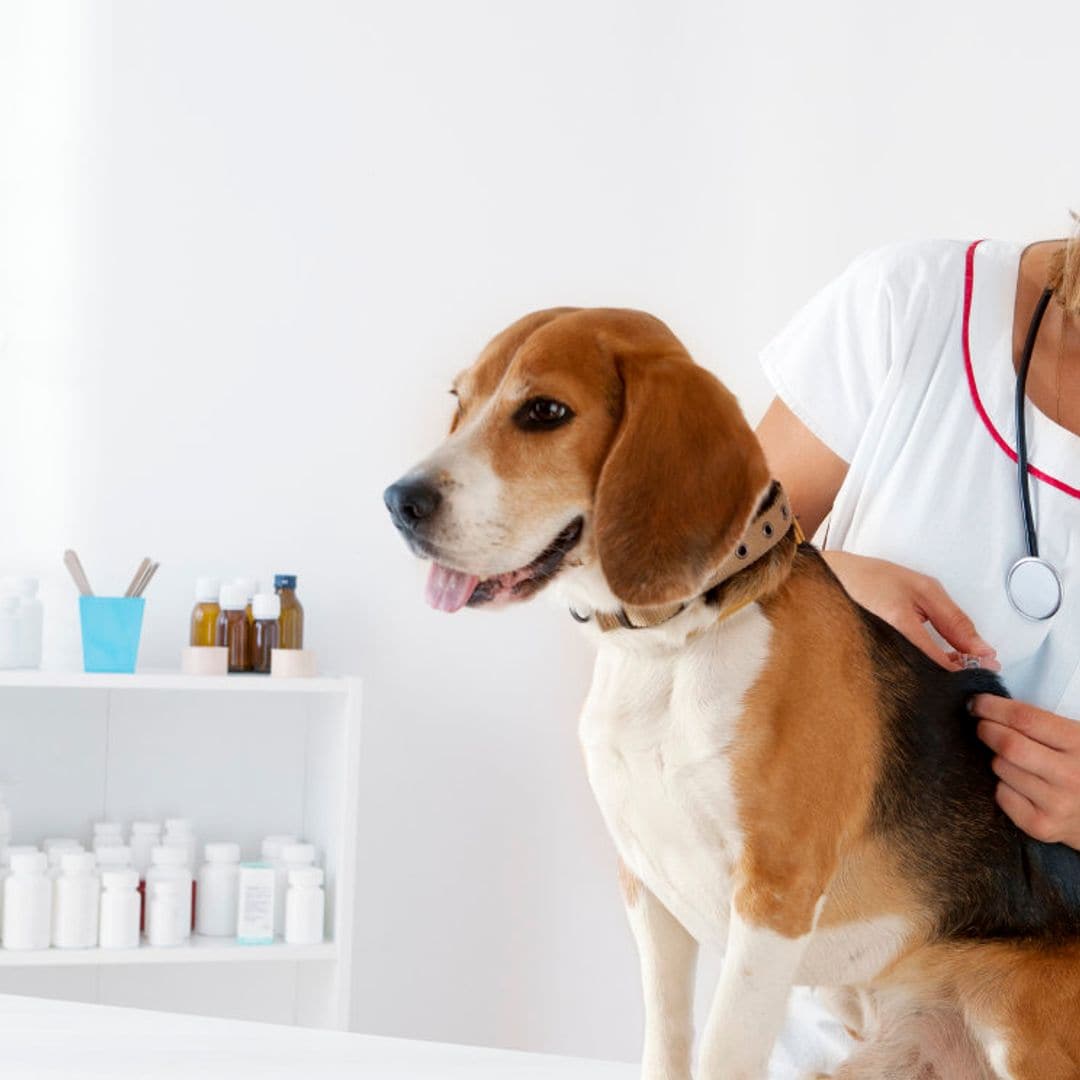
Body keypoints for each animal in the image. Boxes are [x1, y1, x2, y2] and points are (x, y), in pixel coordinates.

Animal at [384, 308, 1075, 1075]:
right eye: (459, 400)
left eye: (544, 412)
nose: (400, 501)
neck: (668, 650)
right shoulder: (646, 884)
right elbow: (668, 1038)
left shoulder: (775, 893)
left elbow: (722, 1051)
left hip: (1015, 1021)